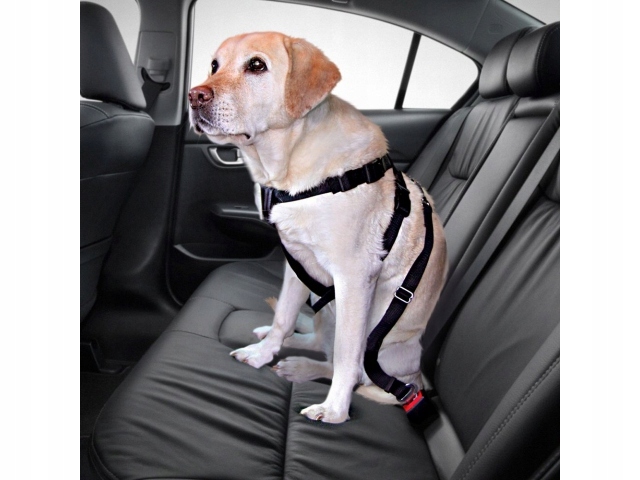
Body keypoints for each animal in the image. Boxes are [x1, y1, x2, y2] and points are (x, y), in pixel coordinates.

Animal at [189, 32, 447, 424]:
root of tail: (415, 377)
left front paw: (335, 409)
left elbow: (346, 356)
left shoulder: (354, 279)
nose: (194, 96)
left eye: (256, 65)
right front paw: (263, 352)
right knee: (315, 338)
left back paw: (306, 371)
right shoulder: (296, 261)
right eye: (214, 65)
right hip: (325, 309)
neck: (290, 163)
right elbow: (283, 315)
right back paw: (285, 346)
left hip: (383, 344)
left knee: (352, 367)